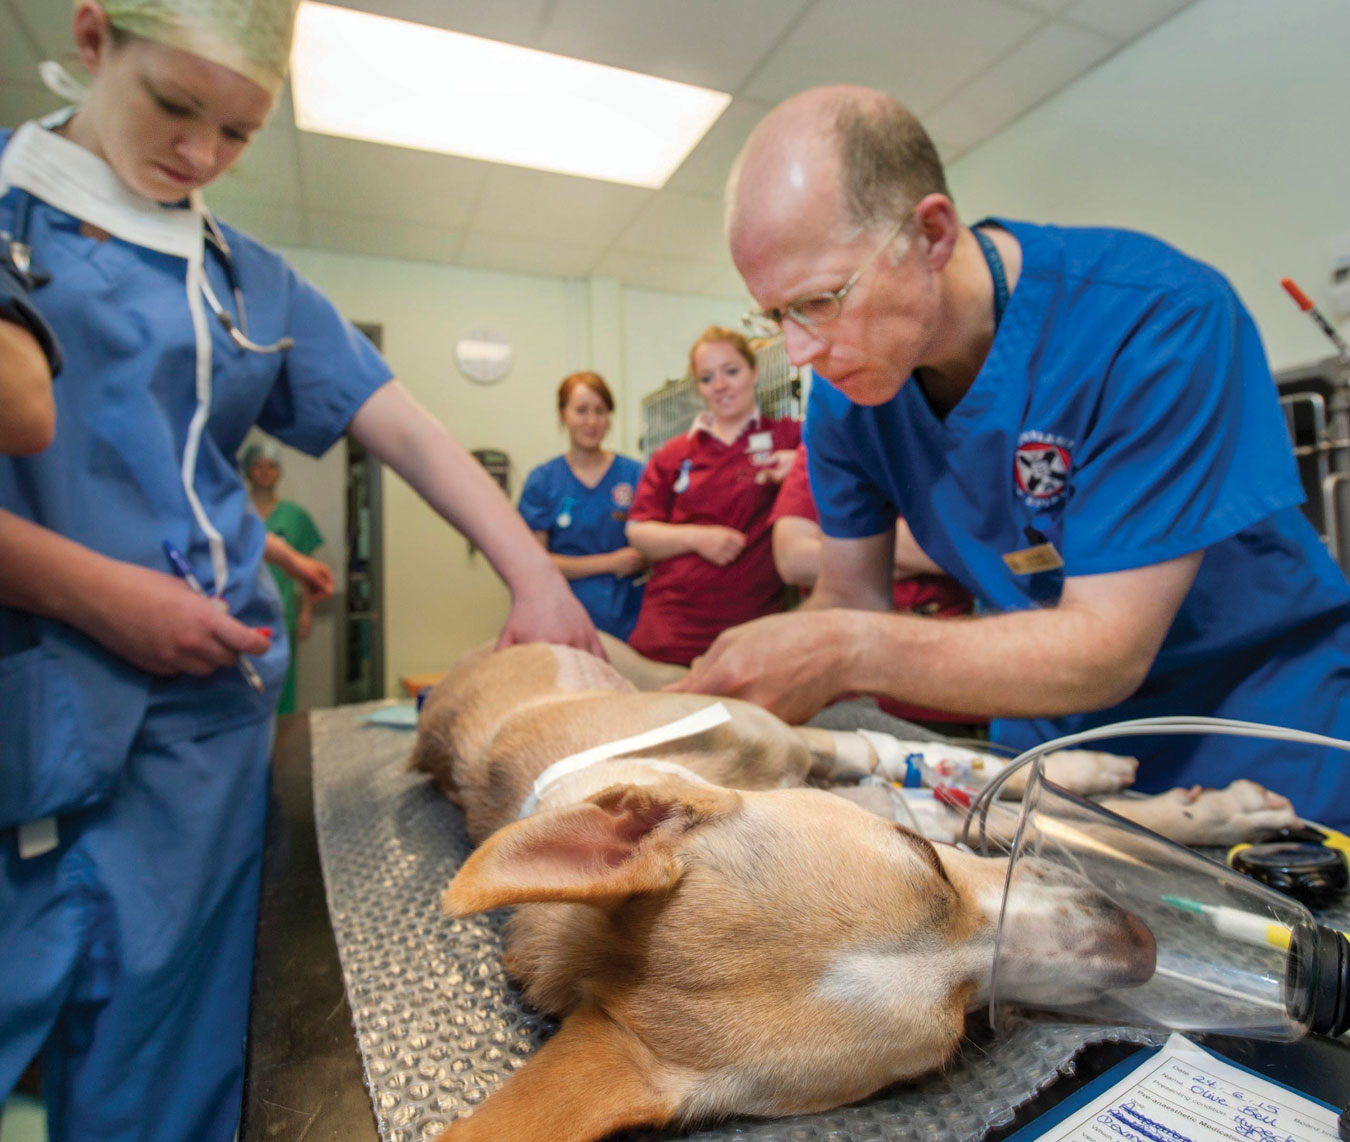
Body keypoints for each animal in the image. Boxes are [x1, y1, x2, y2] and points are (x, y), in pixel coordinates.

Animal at [407, 639, 1296, 1139]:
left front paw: (1124, 784)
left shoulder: (794, 738)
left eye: (925, 862)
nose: (1141, 948)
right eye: (945, 1048)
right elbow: (972, 798)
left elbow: (935, 765)